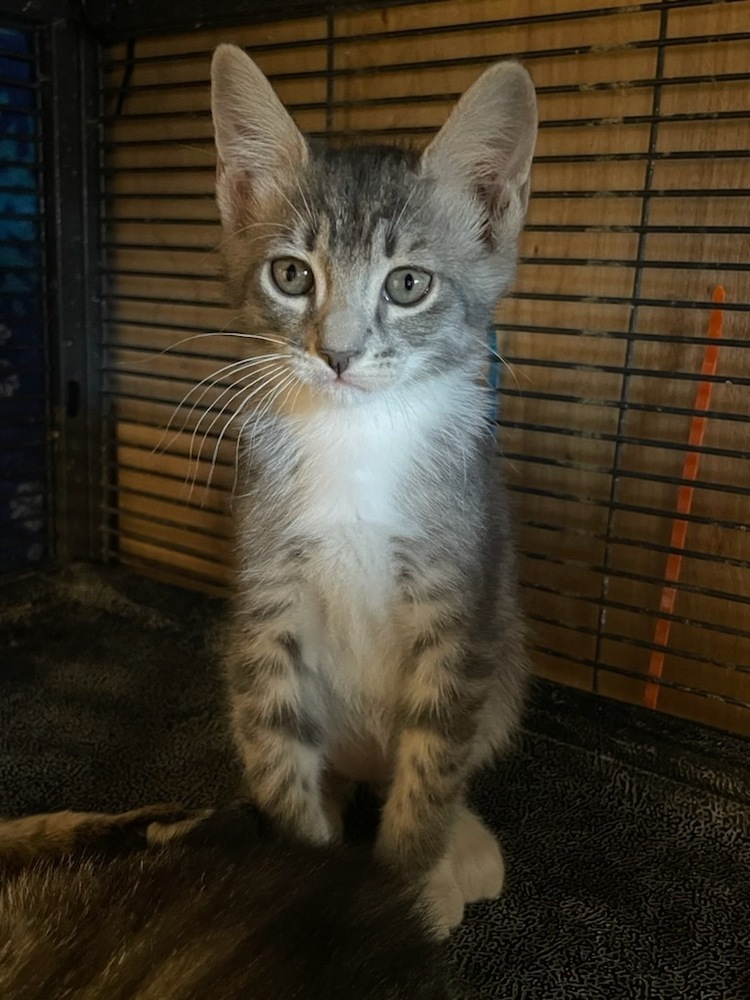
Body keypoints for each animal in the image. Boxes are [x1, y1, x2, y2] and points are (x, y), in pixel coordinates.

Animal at [212, 39, 536, 928]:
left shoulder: (458, 603)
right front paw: (304, 878)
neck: (355, 439)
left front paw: (404, 887)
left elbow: (431, 769)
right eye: (291, 275)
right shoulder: (265, 593)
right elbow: (276, 742)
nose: (338, 353)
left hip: (507, 655)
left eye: (408, 284)